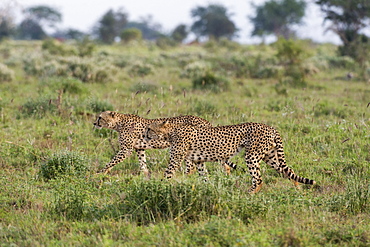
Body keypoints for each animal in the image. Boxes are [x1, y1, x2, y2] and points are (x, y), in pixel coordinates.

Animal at [94, 111, 236, 177]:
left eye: (100, 117)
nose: (94, 123)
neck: (118, 123)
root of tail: (205, 121)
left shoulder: (126, 149)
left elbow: (112, 161)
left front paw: (101, 172)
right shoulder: (139, 148)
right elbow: (142, 162)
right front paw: (145, 174)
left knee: (192, 167)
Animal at [144, 120, 316, 194]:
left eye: (149, 128)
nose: (145, 135)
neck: (170, 132)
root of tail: (270, 126)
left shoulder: (176, 159)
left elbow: (167, 174)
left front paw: (157, 187)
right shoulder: (198, 160)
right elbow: (204, 176)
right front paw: (207, 188)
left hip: (252, 155)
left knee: (258, 179)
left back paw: (248, 194)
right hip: (270, 156)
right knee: (288, 171)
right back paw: (298, 189)